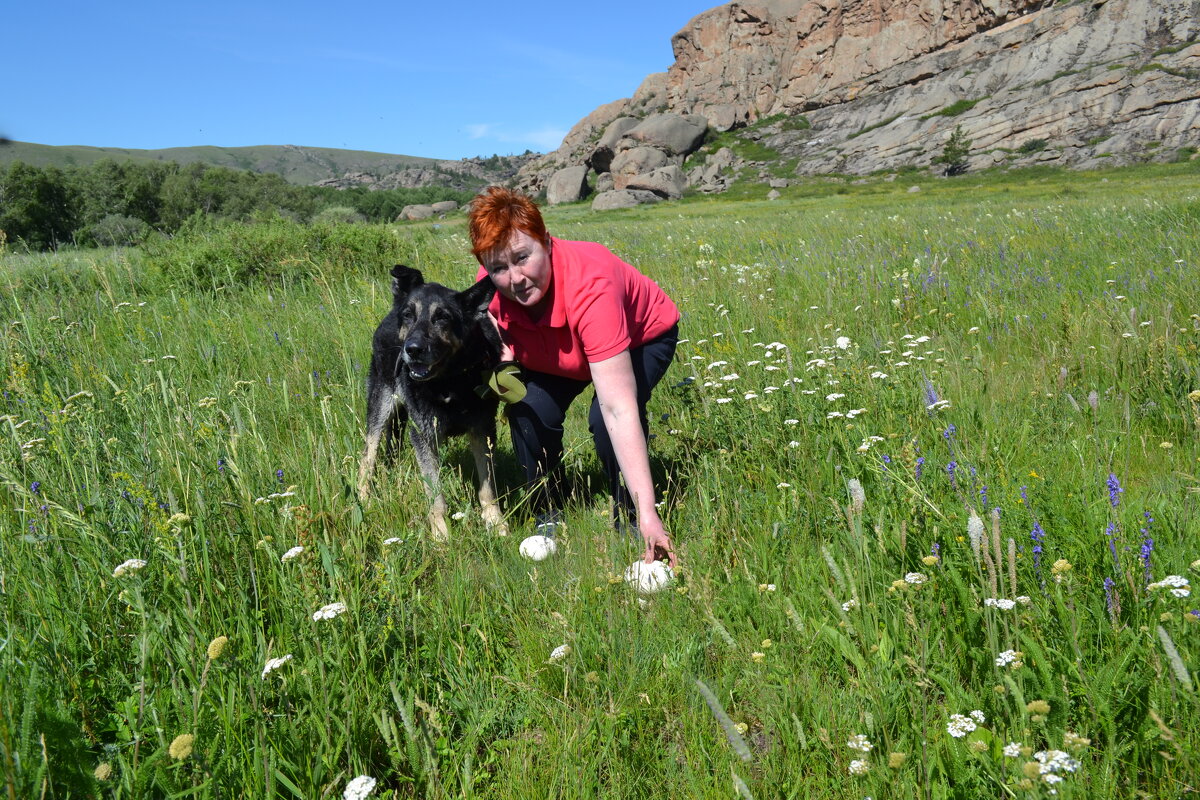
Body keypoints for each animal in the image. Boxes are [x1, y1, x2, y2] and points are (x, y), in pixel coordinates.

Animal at [355, 266, 506, 542]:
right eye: (409, 316)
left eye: (442, 318)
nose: (412, 350)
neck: (450, 381)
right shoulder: (423, 436)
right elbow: (436, 495)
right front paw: (440, 534)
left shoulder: (483, 430)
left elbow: (487, 487)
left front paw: (495, 521)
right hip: (380, 405)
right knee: (367, 457)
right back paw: (364, 500)